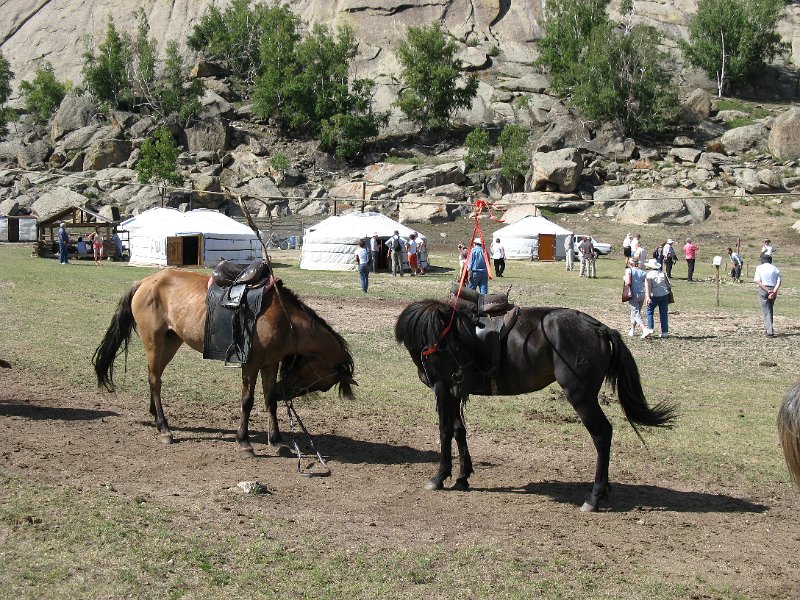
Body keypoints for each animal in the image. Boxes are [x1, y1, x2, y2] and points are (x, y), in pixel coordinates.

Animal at [94, 270, 356, 452]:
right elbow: (247, 401)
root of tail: (145, 282)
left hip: (171, 341)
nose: (286, 392)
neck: (283, 319)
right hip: (154, 342)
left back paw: (157, 418)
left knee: (155, 377)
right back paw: (164, 427)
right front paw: (244, 441)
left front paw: (277, 441)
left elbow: (269, 400)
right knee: (155, 380)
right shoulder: (250, 363)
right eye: (323, 384)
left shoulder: (270, 364)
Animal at [394, 300, 676, 510]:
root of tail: (599, 327)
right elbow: (458, 431)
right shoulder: (452, 391)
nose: (459, 372)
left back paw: (594, 496)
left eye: (454, 341)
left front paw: (439, 477)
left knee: (602, 435)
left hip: (581, 396)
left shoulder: (443, 388)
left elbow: (444, 432)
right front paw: (463, 477)